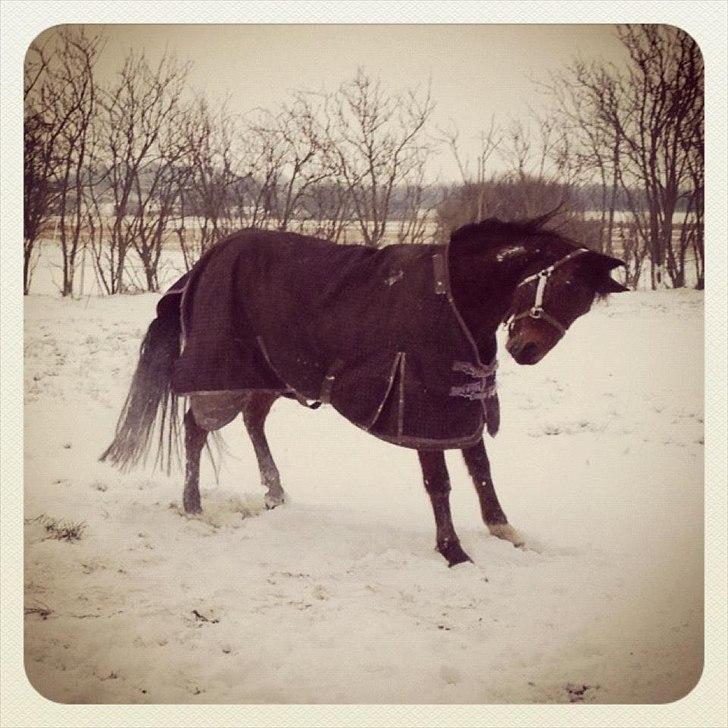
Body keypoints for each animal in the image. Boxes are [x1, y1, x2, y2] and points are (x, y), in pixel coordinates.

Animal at [99, 210, 628, 568]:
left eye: (583, 301)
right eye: (562, 285)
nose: (525, 349)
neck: (456, 296)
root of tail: (206, 261)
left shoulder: (461, 400)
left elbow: (481, 470)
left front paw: (507, 531)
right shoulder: (422, 403)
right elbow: (440, 482)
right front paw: (453, 551)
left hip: (271, 374)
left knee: (253, 422)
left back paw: (275, 494)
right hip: (222, 377)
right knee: (196, 429)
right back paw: (194, 506)